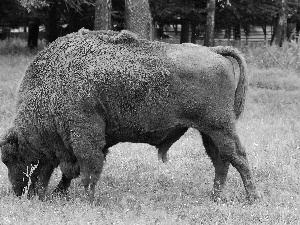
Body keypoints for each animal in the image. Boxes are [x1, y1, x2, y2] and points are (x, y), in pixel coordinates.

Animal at [0, 29, 258, 201]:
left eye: (12, 158)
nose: (19, 193)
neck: (51, 88)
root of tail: (214, 51)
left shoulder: (85, 136)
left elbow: (87, 169)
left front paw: (87, 200)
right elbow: (72, 172)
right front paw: (60, 193)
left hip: (219, 127)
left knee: (237, 157)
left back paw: (252, 198)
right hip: (209, 131)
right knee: (221, 161)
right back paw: (215, 197)